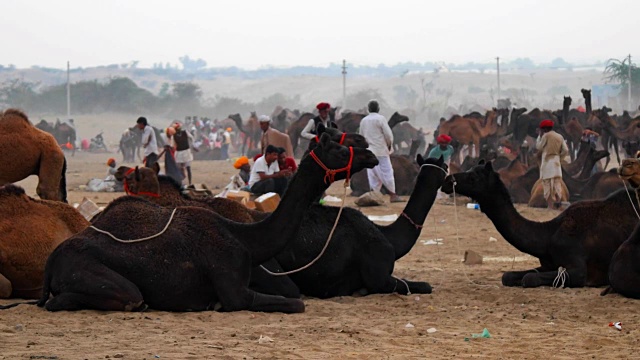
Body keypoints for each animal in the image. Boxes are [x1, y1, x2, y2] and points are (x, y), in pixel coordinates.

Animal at [442, 162, 640, 288]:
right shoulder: (547, 265)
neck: (548, 235)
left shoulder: (578, 270)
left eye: (473, 176)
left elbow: (529, 278)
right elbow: (508, 276)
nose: (447, 181)